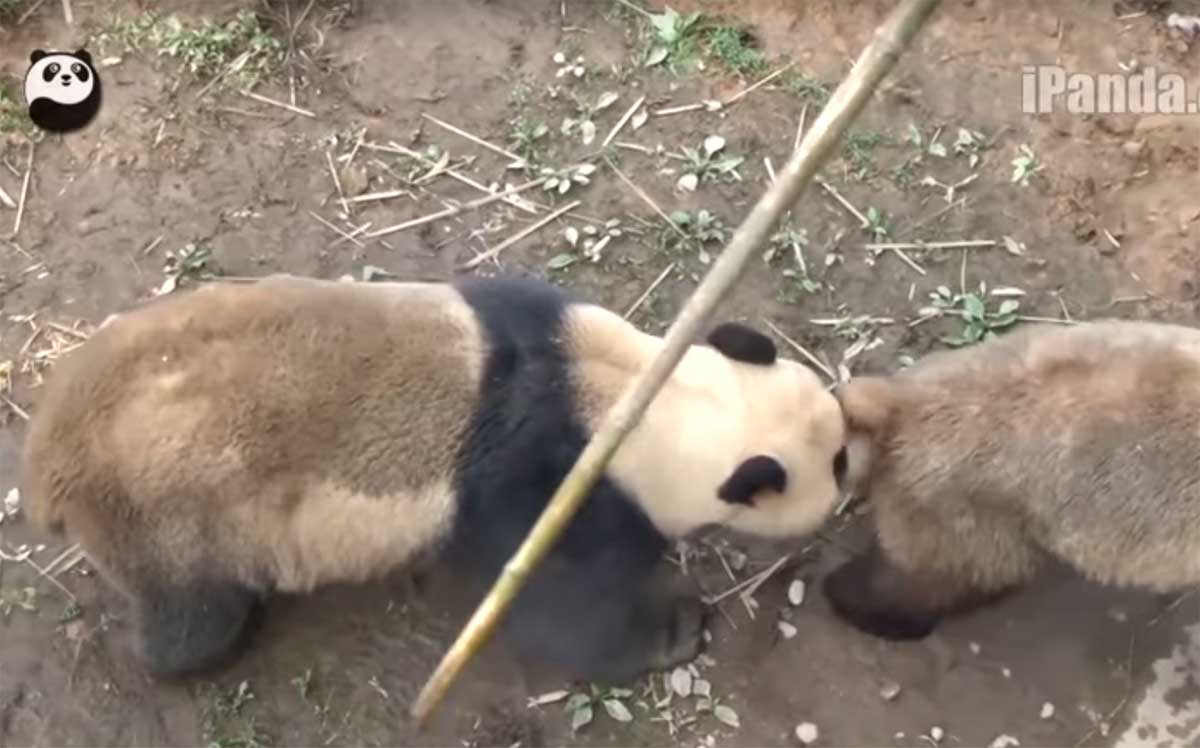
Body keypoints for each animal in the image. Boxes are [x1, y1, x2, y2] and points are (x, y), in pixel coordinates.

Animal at [18, 273, 844, 686]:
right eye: (834, 465)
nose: (848, 489)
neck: (630, 393)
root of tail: (49, 461)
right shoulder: (549, 486)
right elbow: (562, 610)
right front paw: (677, 630)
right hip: (171, 515)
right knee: (192, 616)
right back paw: (176, 650)